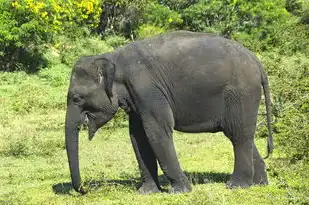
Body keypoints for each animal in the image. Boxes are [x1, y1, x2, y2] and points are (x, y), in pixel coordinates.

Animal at [64, 30, 272, 194]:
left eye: (76, 98)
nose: (84, 190)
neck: (113, 58)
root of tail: (258, 62)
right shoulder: (136, 98)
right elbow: (137, 137)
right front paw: (146, 192)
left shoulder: (148, 90)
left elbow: (157, 131)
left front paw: (180, 191)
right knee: (241, 134)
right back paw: (260, 183)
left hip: (241, 93)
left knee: (238, 134)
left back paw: (236, 186)